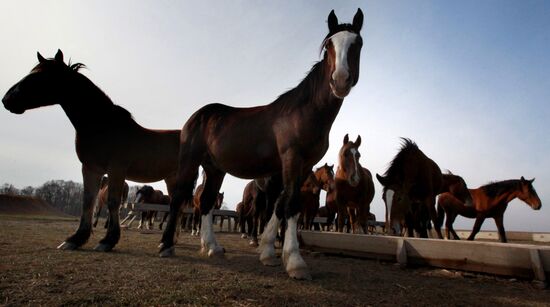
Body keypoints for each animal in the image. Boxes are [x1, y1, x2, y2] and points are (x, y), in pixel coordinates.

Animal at [3, 51, 181, 253]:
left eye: (38, 76)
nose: (6, 99)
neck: (102, 127)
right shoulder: (90, 169)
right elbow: (88, 201)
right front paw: (75, 239)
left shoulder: (116, 169)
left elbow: (113, 202)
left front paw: (108, 240)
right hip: (171, 178)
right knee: (177, 207)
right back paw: (169, 242)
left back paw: (167, 244)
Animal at [160, 9, 366, 282]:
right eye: (328, 46)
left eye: (358, 43)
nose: (340, 80)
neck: (303, 112)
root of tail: (198, 116)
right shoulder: (291, 159)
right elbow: (290, 204)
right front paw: (295, 262)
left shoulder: (302, 167)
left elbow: (280, 206)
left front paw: (268, 252)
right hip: (190, 163)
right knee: (177, 199)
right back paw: (166, 246)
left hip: (215, 169)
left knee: (206, 202)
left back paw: (212, 247)